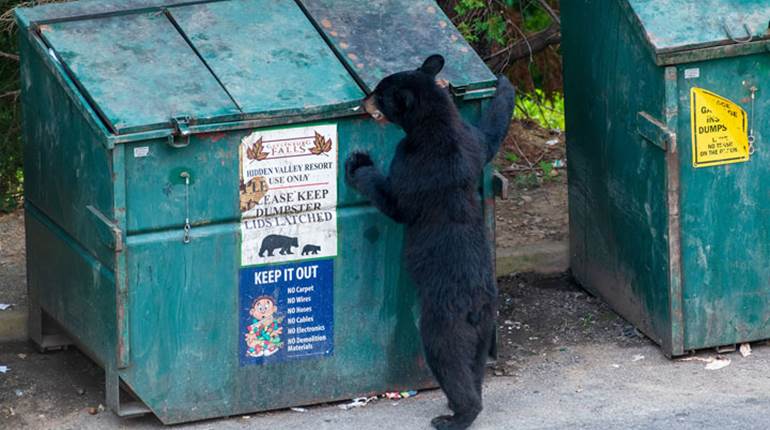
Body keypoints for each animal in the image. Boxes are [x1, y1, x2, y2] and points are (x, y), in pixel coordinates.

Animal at [345, 55, 515, 430]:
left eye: (380, 94)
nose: (363, 101)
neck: (436, 122)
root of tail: (477, 303)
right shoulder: (471, 141)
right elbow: (491, 134)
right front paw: (504, 84)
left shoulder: (410, 159)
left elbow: (394, 201)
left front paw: (358, 163)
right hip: (485, 329)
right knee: (473, 366)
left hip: (443, 322)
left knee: (447, 359)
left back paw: (455, 416)